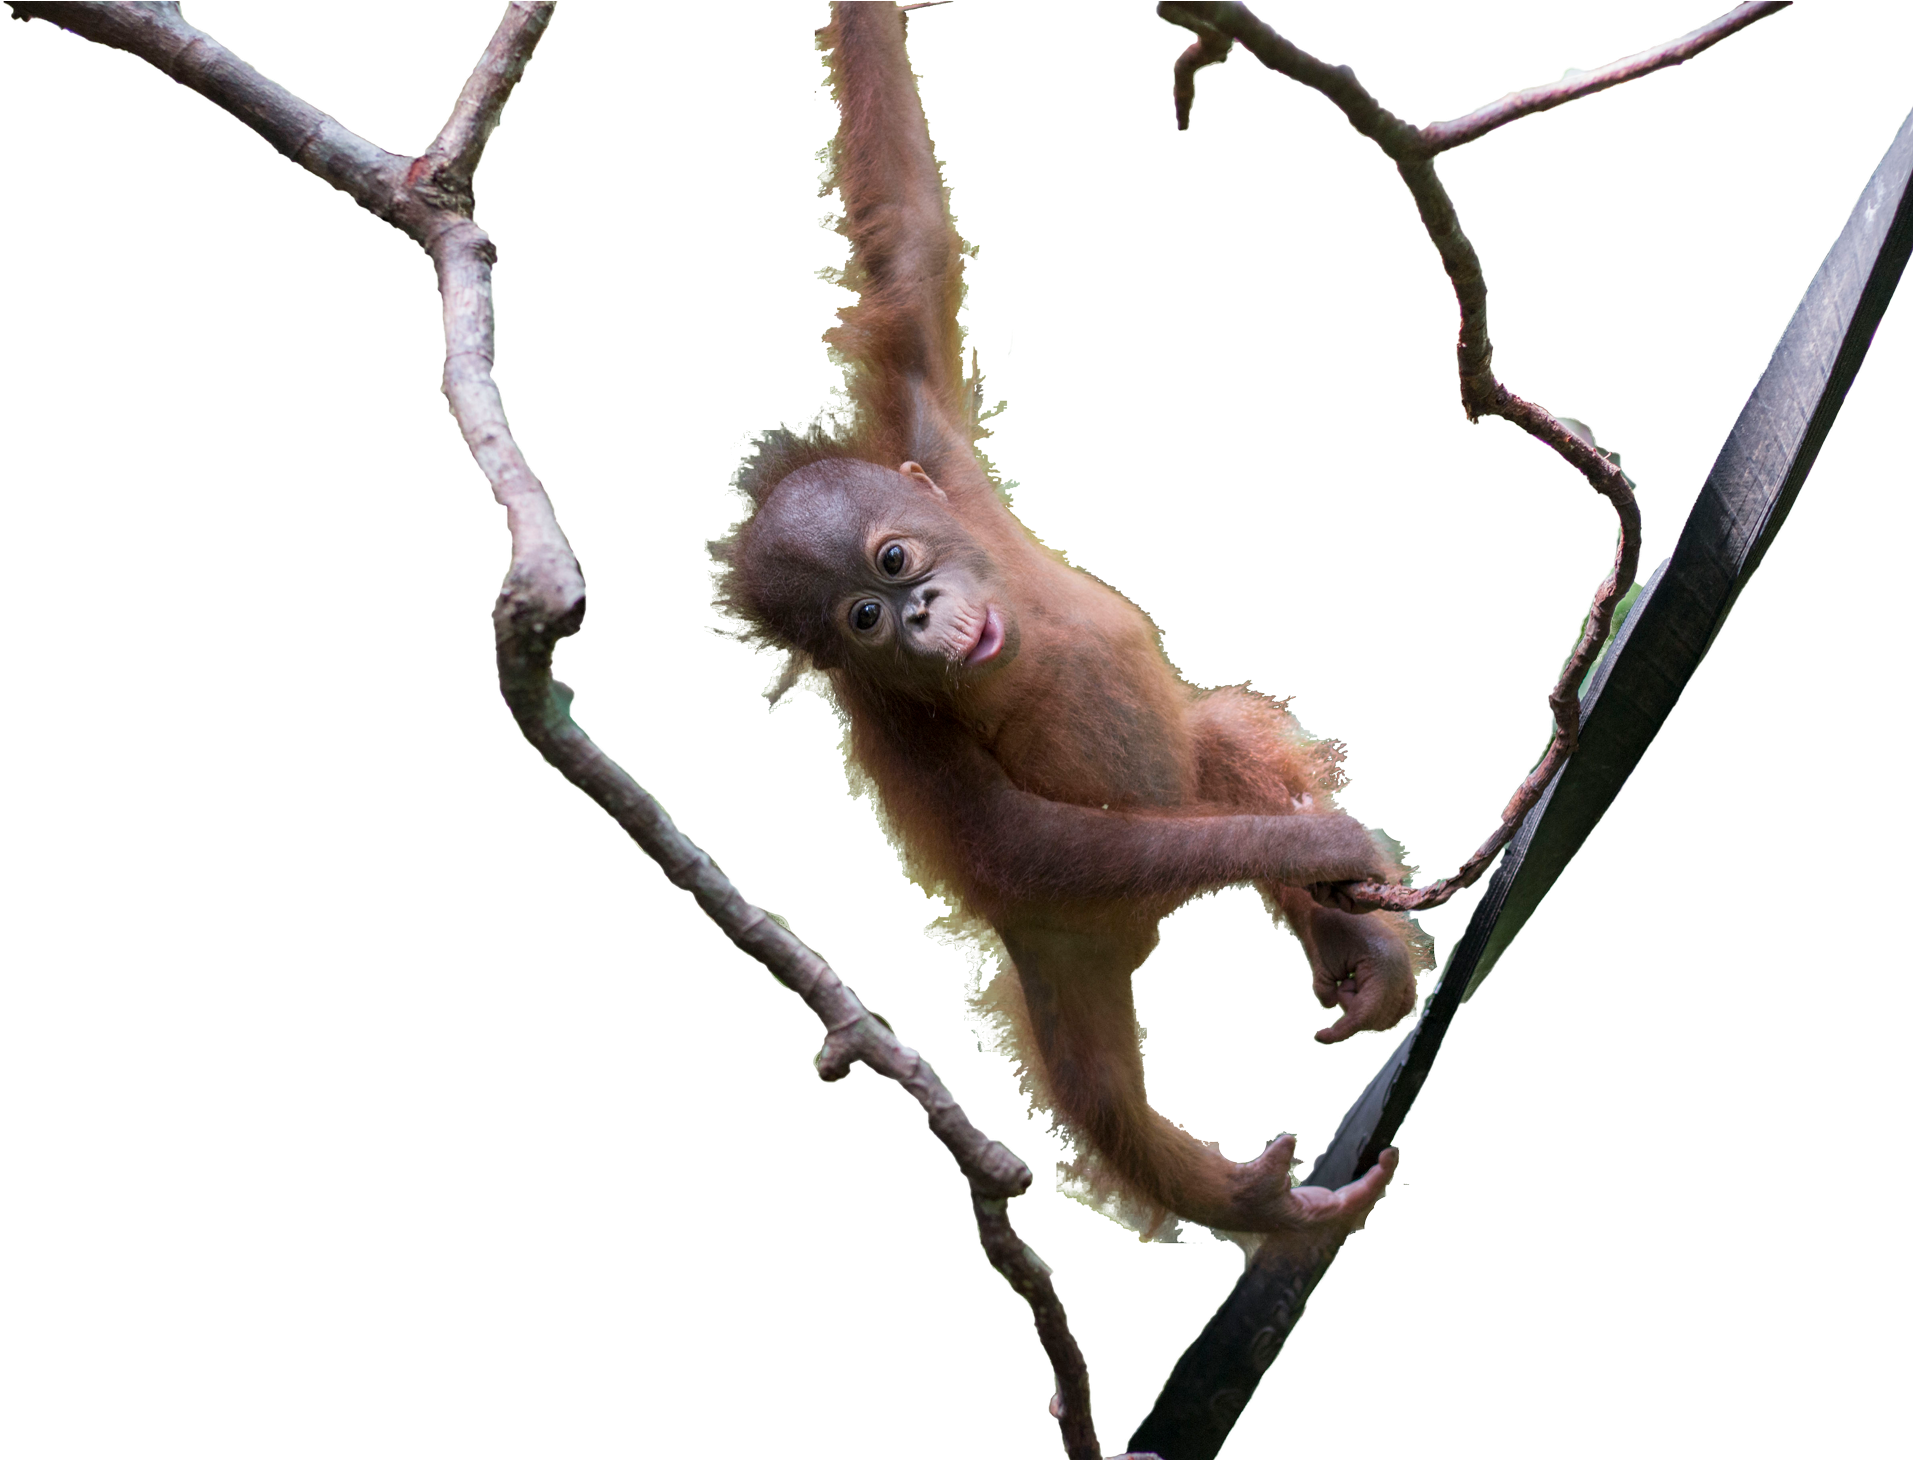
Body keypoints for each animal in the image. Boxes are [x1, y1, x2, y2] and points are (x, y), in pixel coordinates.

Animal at [709, 3, 1430, 1241]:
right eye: (864, 619)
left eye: (892, 559)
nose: (921, 616)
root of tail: (1137, 936)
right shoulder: (896, 728)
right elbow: (1016, 839)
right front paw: (1325, 847)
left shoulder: (923, 428)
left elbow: (905, 233)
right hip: (1063, 952)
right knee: (1100, 1093)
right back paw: (1262, 1202)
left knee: (1216, 739)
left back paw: (1352, 947)